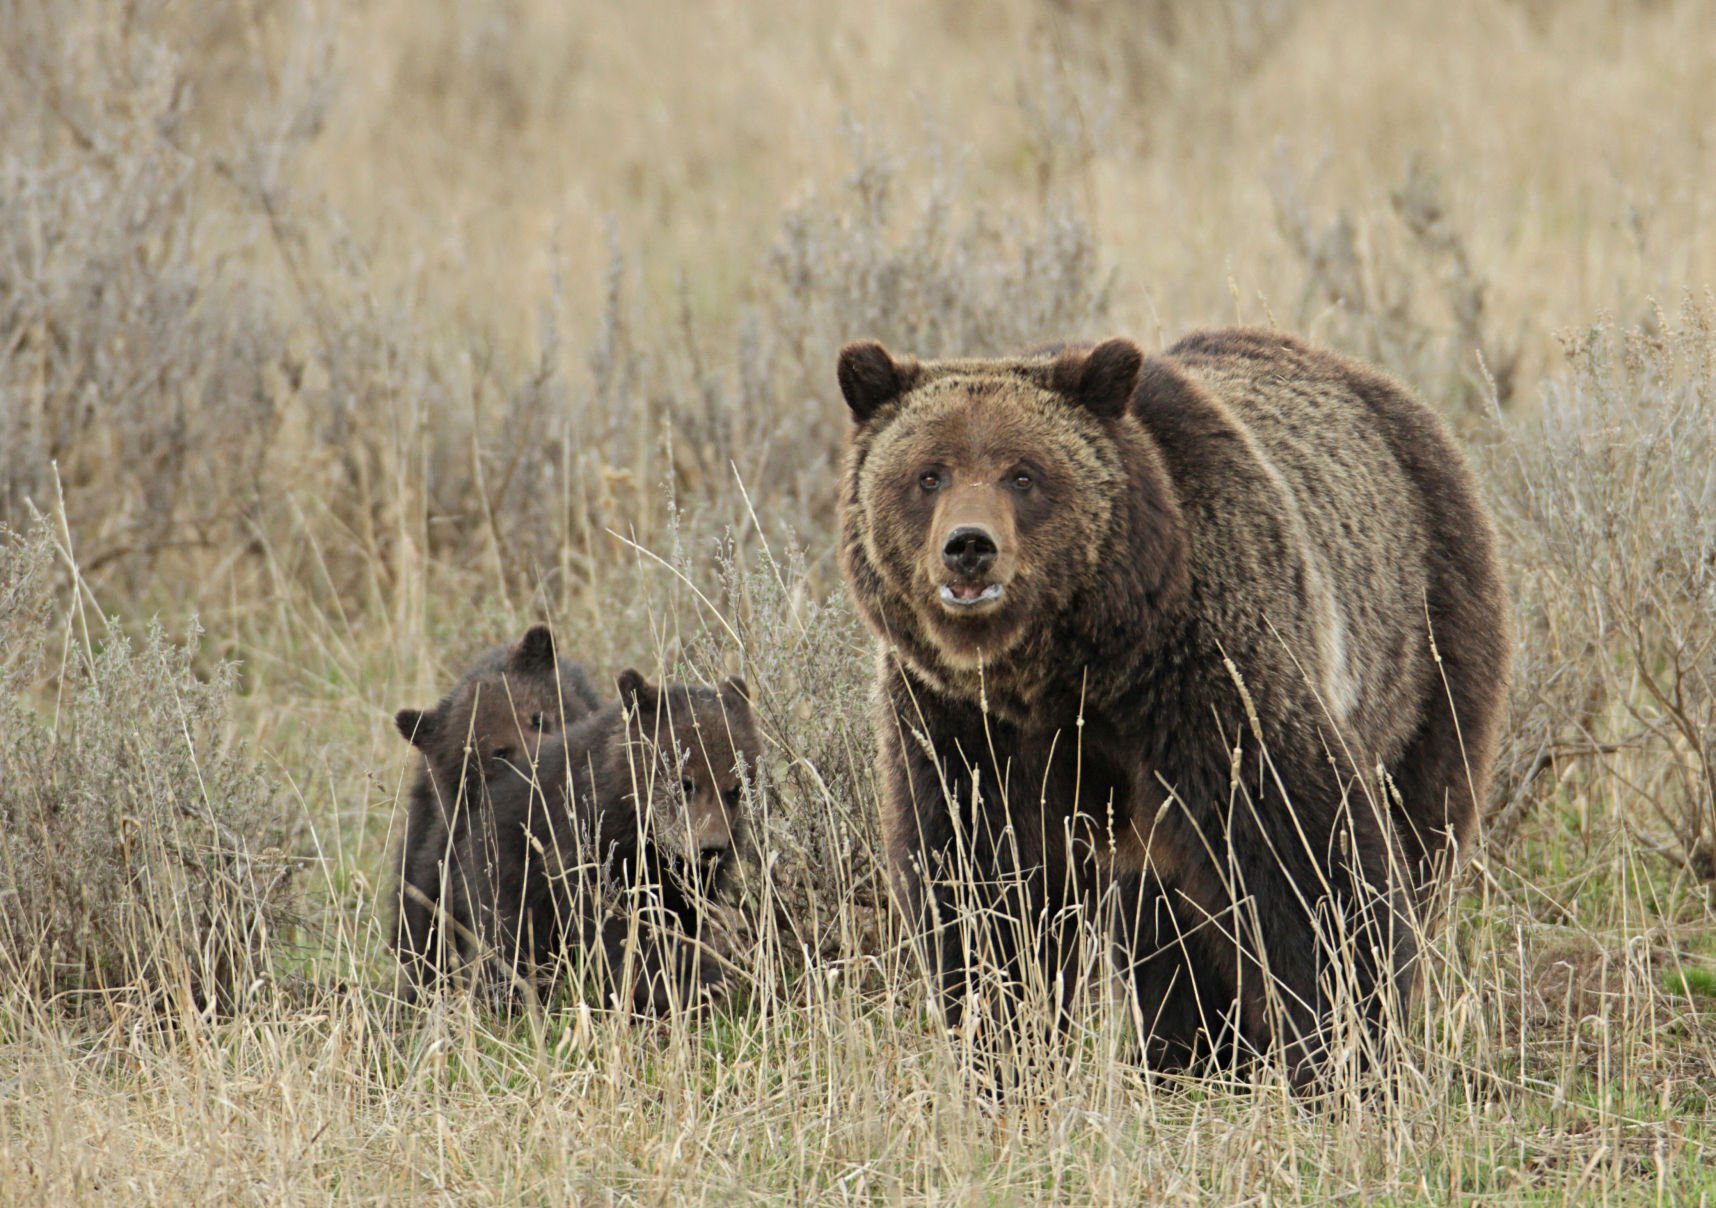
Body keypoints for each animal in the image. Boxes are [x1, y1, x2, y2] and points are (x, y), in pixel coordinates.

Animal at [470, 669, 765, 1008]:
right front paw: (683, 982)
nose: (710, 847)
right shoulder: (583, 846)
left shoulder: (689, 880)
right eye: (685, 782)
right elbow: (609, 925)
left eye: (735, 788)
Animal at [837, 327, 1510, 1084]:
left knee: (1422, 825)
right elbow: (984, 880)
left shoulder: (1209, 677)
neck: (1070, 671)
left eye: (1024, 474)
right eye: (929, 474)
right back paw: (1188, 1051)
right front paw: (1004, 1050)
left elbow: (1308, 859)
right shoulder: (960, 720)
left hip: (1426, 644)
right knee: (1165, 919)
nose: (969, 547)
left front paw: (1345, 1056)